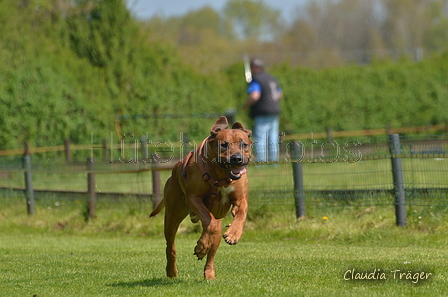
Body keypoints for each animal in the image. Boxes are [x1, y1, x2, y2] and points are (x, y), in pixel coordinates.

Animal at [150, 115, 252, 278]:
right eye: (224, 145)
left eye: (244, 144)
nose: (237, 158)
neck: (221, 176)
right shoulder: (193, 198)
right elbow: (208, 221)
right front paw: (202, 245)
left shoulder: (240, 199)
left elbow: (241, 214)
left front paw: (233, 233)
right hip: (173, 215)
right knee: (171, 245)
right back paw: (172, 270)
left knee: (213, 243)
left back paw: (208, 271)